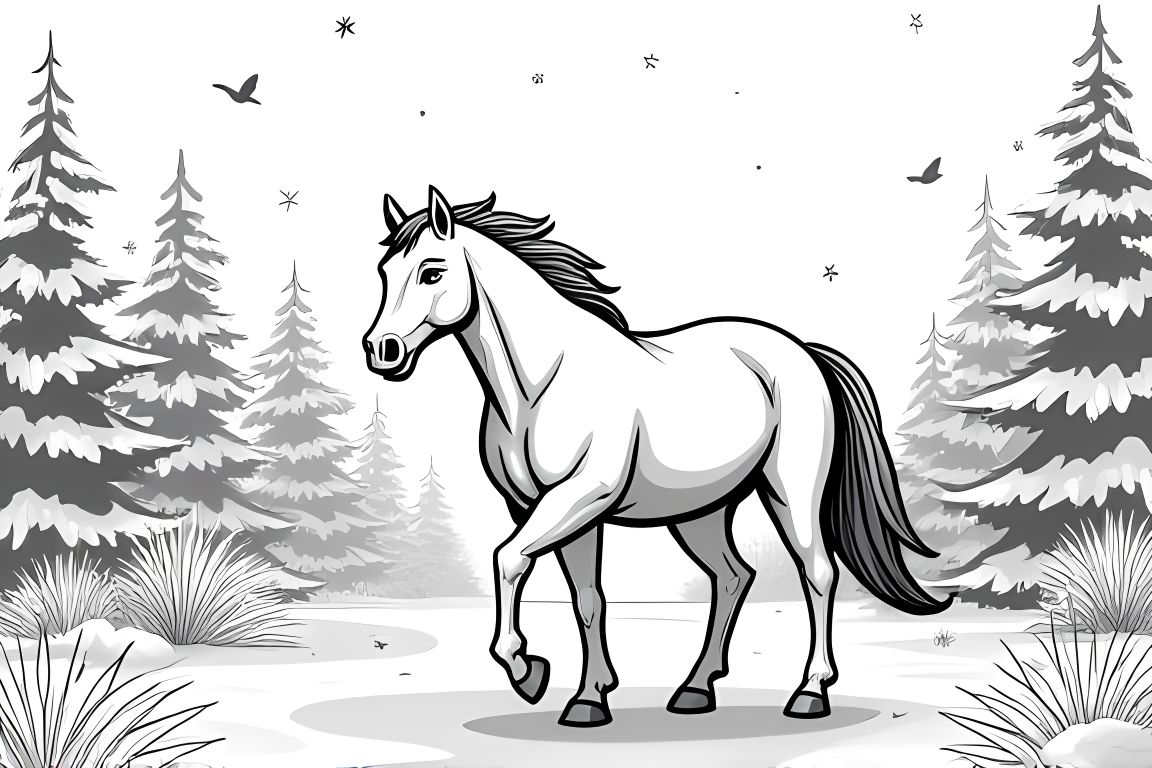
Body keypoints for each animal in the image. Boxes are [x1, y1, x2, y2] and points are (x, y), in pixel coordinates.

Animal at [363, 186, 950, 728]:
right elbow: (587, 598)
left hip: (790, 490)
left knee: (818, 573)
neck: (543, 384)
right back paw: (695, 689)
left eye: (432, 273)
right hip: (700, 511)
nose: (382, 351)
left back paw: (809, 694)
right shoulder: (547, 509)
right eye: (385, 271)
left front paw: (529, 672)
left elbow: (508, 559)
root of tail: (803, 351)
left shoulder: (581, 496)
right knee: (733, 577)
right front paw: (588, 699)